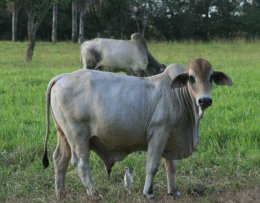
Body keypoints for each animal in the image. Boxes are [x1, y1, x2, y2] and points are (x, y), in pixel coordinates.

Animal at [42, 58, 234, 199]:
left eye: (211, 77)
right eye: (191, 78)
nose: (205, 100)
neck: (177, 94)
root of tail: (62, 77)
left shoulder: (172, 137)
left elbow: (171, 166)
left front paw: (173, 191)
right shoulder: (159, 133)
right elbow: (152, 165)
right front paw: (148, 192)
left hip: (63, 134)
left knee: (60, 159)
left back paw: (61, 193)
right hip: (77, 134)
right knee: (81, 163)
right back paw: (94, 193)